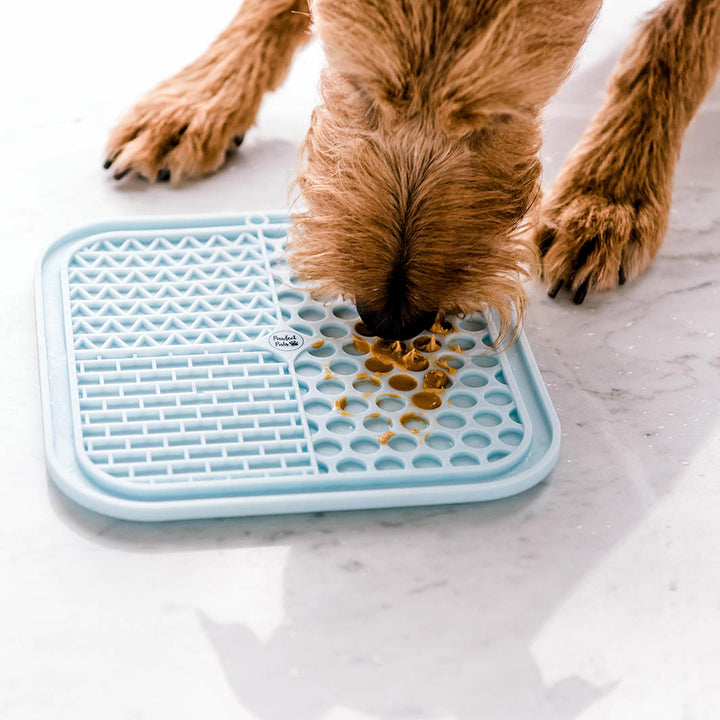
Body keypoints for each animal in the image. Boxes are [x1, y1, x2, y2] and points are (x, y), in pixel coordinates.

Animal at [104, 0, 720, 342]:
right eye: (357, 86)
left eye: (503, 114)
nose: (391, 321)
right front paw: (204, 94)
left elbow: (676, 33)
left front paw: (610, 193)